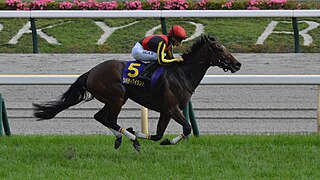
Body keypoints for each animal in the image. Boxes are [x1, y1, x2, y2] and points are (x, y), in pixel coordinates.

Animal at [33, 34, 241, 150]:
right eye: (220, 49)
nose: (237, 64)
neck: (182, 75)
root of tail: (90, 72)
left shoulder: (166, 111)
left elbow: (158, 135)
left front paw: (155, 138)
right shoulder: (172, 108)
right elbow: (187, 128)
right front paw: (138, 134)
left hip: (113, 99)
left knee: (100, 117)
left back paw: (121, 138)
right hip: (117, 97)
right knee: (109, 119)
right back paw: (132, 139)